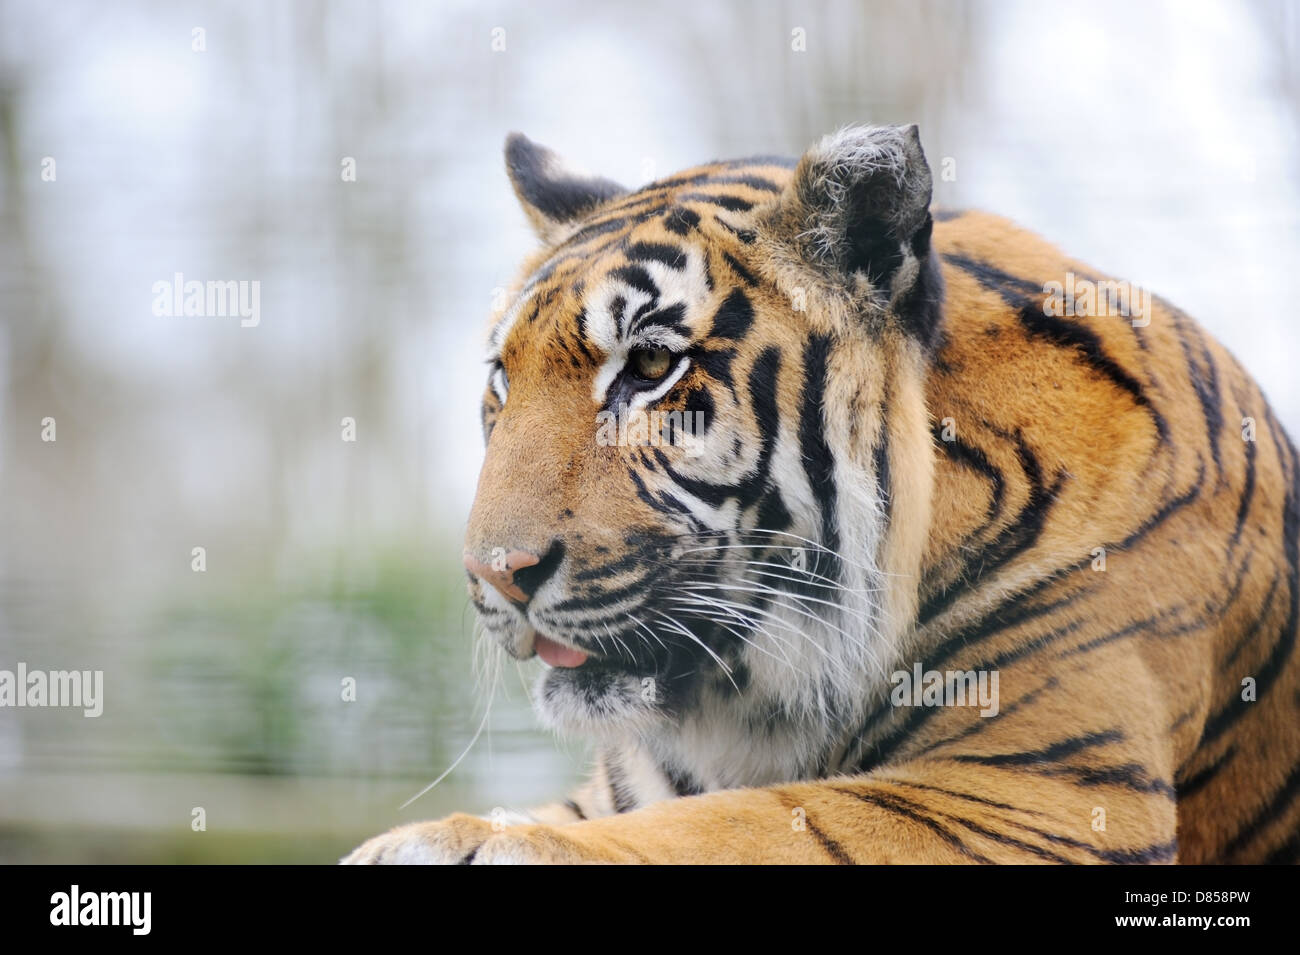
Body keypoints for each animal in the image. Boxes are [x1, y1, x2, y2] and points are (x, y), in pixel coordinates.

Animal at [343, 123, 1300, 862]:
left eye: (650, 366)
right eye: (502, 381)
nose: (493, 574)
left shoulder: (1043, 793)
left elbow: (741, 823)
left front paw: (454, 839)